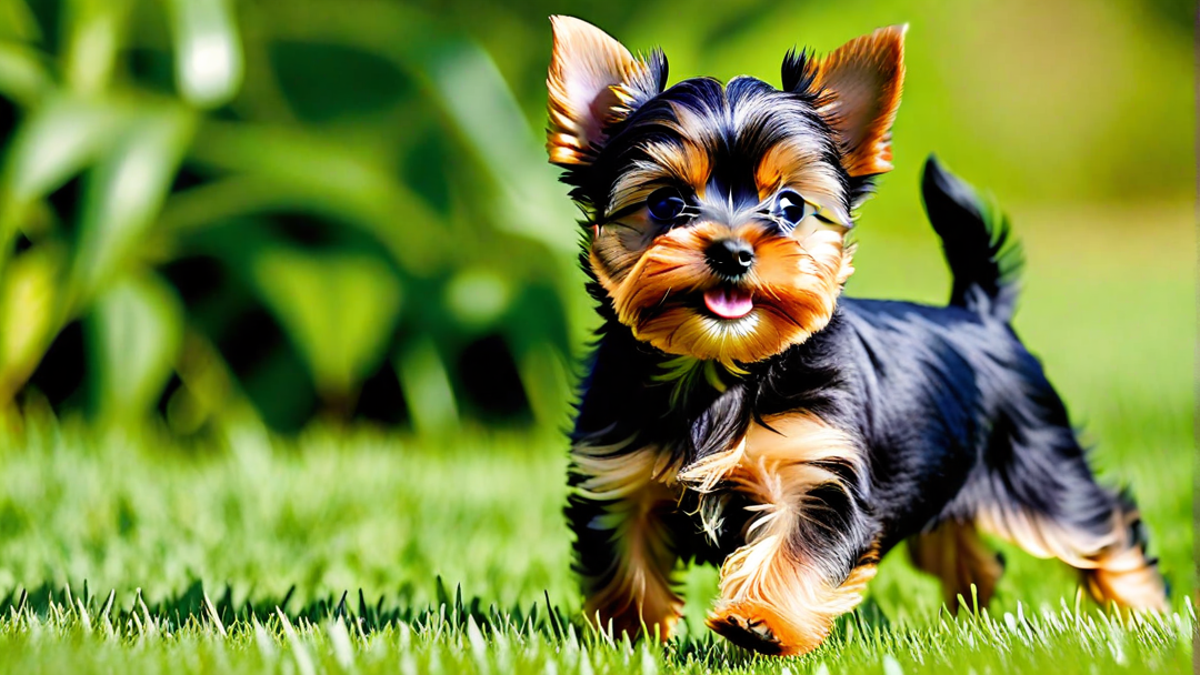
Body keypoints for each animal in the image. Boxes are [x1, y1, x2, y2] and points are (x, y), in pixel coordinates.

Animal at [549, 18, 1166, 653]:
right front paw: (628, 638)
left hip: (1037, 467)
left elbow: (798, 549)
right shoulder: (615, 474)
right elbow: (623, 560)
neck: (717, 367)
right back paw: (965, 620)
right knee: (965, 546)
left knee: (1099, 525)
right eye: (666, 202)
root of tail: (981, 315)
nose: (733, 251)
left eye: (790, 205)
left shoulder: (818, 468)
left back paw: (1143, 615)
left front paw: (759, 622)